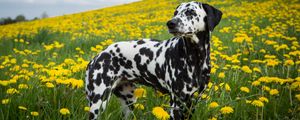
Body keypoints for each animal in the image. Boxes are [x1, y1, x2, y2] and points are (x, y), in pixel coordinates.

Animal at [85, 1, 221, 120]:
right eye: (175, 12)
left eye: (190, 11)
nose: (170, 23)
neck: (195, 58)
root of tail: (97, 57)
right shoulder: (176, 105)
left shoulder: (192, 103)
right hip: (98, 103)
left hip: (129, 101)